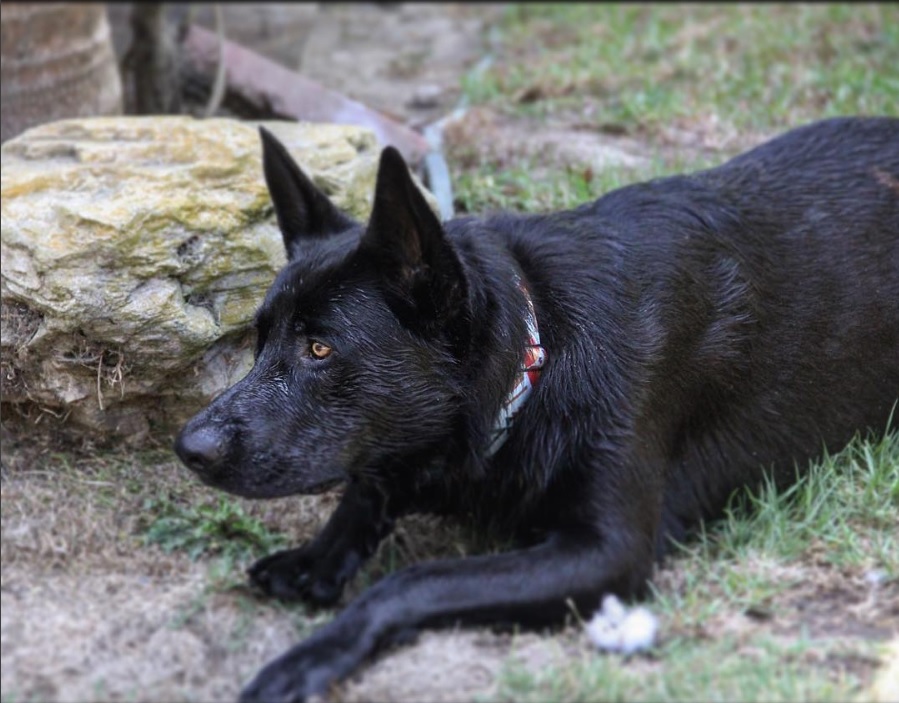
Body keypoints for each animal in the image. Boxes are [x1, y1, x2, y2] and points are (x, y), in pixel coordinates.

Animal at [176, 118, 899, 700]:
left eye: (320, 348)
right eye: (261, 339)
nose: (189, 448)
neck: (538, 351)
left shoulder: (605, 550)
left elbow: (415, 581)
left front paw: (316, 652)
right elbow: (367, 486)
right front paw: (317, 557)